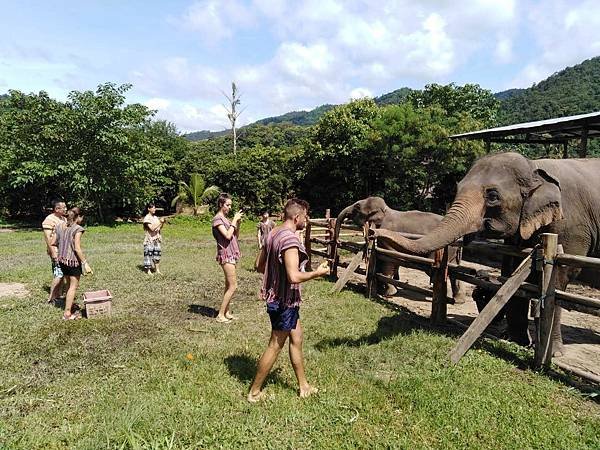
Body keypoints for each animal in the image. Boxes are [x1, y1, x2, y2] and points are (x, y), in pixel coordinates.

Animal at [332, 196, 464, 302]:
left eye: (357, 206)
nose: (338, 241)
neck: (386, 210)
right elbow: (381, 258)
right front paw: (381, 290)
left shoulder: (387, 233)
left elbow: (390, 259)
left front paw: (389, 293)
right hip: (452, 251)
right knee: (454, 271)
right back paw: (458, 300)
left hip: (446, 249)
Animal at [372, 153, 596, 356]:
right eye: (457, 189)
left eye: (493, 196)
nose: (374, 232)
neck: (535, 167)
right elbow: (513, 269)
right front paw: (518, 342)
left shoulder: (570, 227)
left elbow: (559, 280)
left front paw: (554, 354)